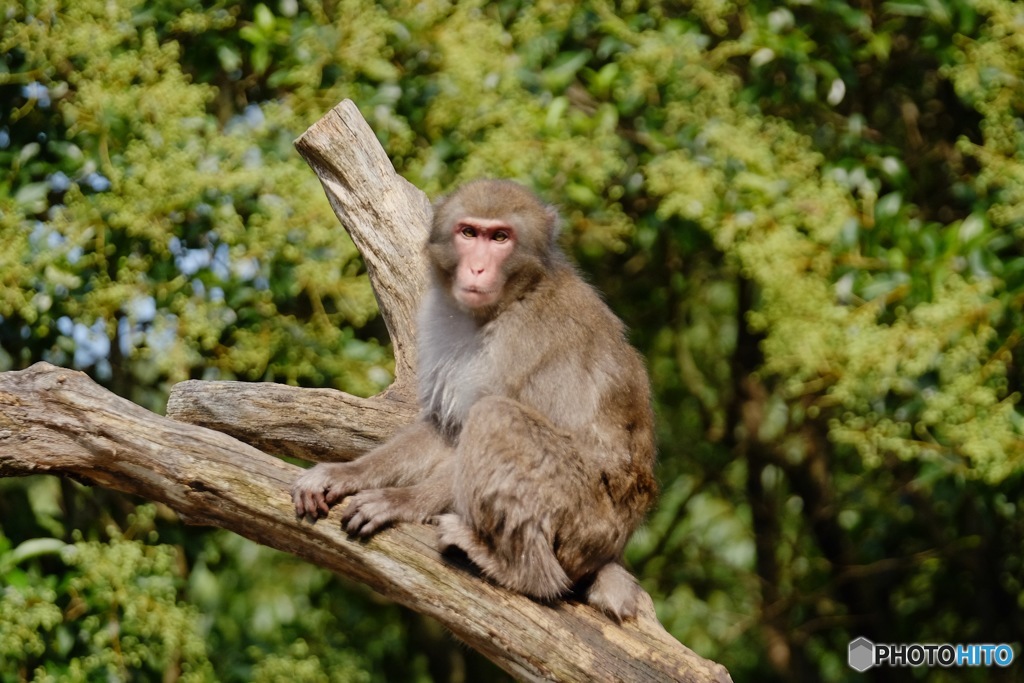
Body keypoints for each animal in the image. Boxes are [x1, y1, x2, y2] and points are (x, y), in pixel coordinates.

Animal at [290, 179, 655, 622]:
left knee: (496, 416)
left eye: (500, 238)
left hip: (584, 517)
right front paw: (345, 473)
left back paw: (522, 572)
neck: (505, 303)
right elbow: (445, 432)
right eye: (469, 233)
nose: (478, 268)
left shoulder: (523, 338)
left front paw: (401, 501)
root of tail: (616, 543)